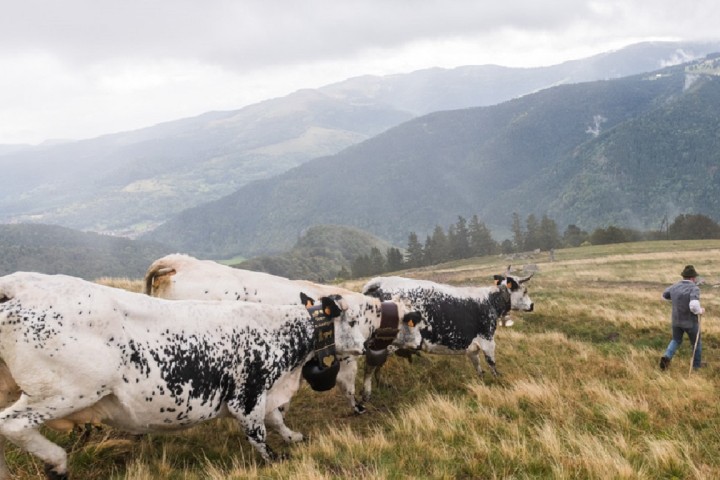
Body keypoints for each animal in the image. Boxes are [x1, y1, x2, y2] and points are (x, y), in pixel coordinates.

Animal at [0, 272, 372, 478]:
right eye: (352, 319)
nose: (363, 348)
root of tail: (17, 286)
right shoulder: (247, 394)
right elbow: (259, 433)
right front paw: (276, 459)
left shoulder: (265, 392)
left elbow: (277, 419)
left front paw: (293, 437)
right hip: (65, 391)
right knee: (12, 424)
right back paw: (57, 463)